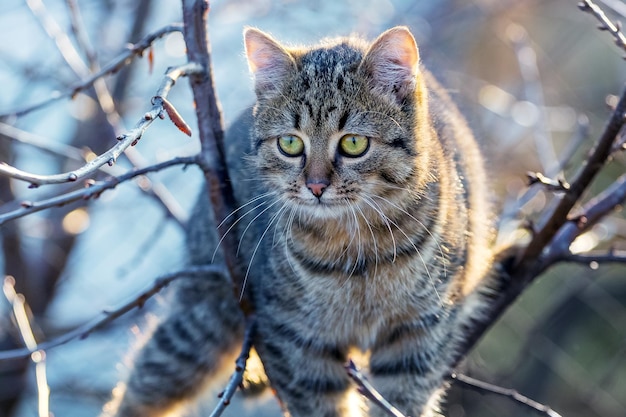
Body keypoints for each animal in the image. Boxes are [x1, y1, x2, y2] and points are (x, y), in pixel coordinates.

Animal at [102, 26, 492, 416]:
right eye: (290, 143)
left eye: (353, 143)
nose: (316, 186)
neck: (359, 253)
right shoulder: (295, 340)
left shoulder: (422, 331)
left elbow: (403, 400)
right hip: (203, 323)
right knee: (142, 383)